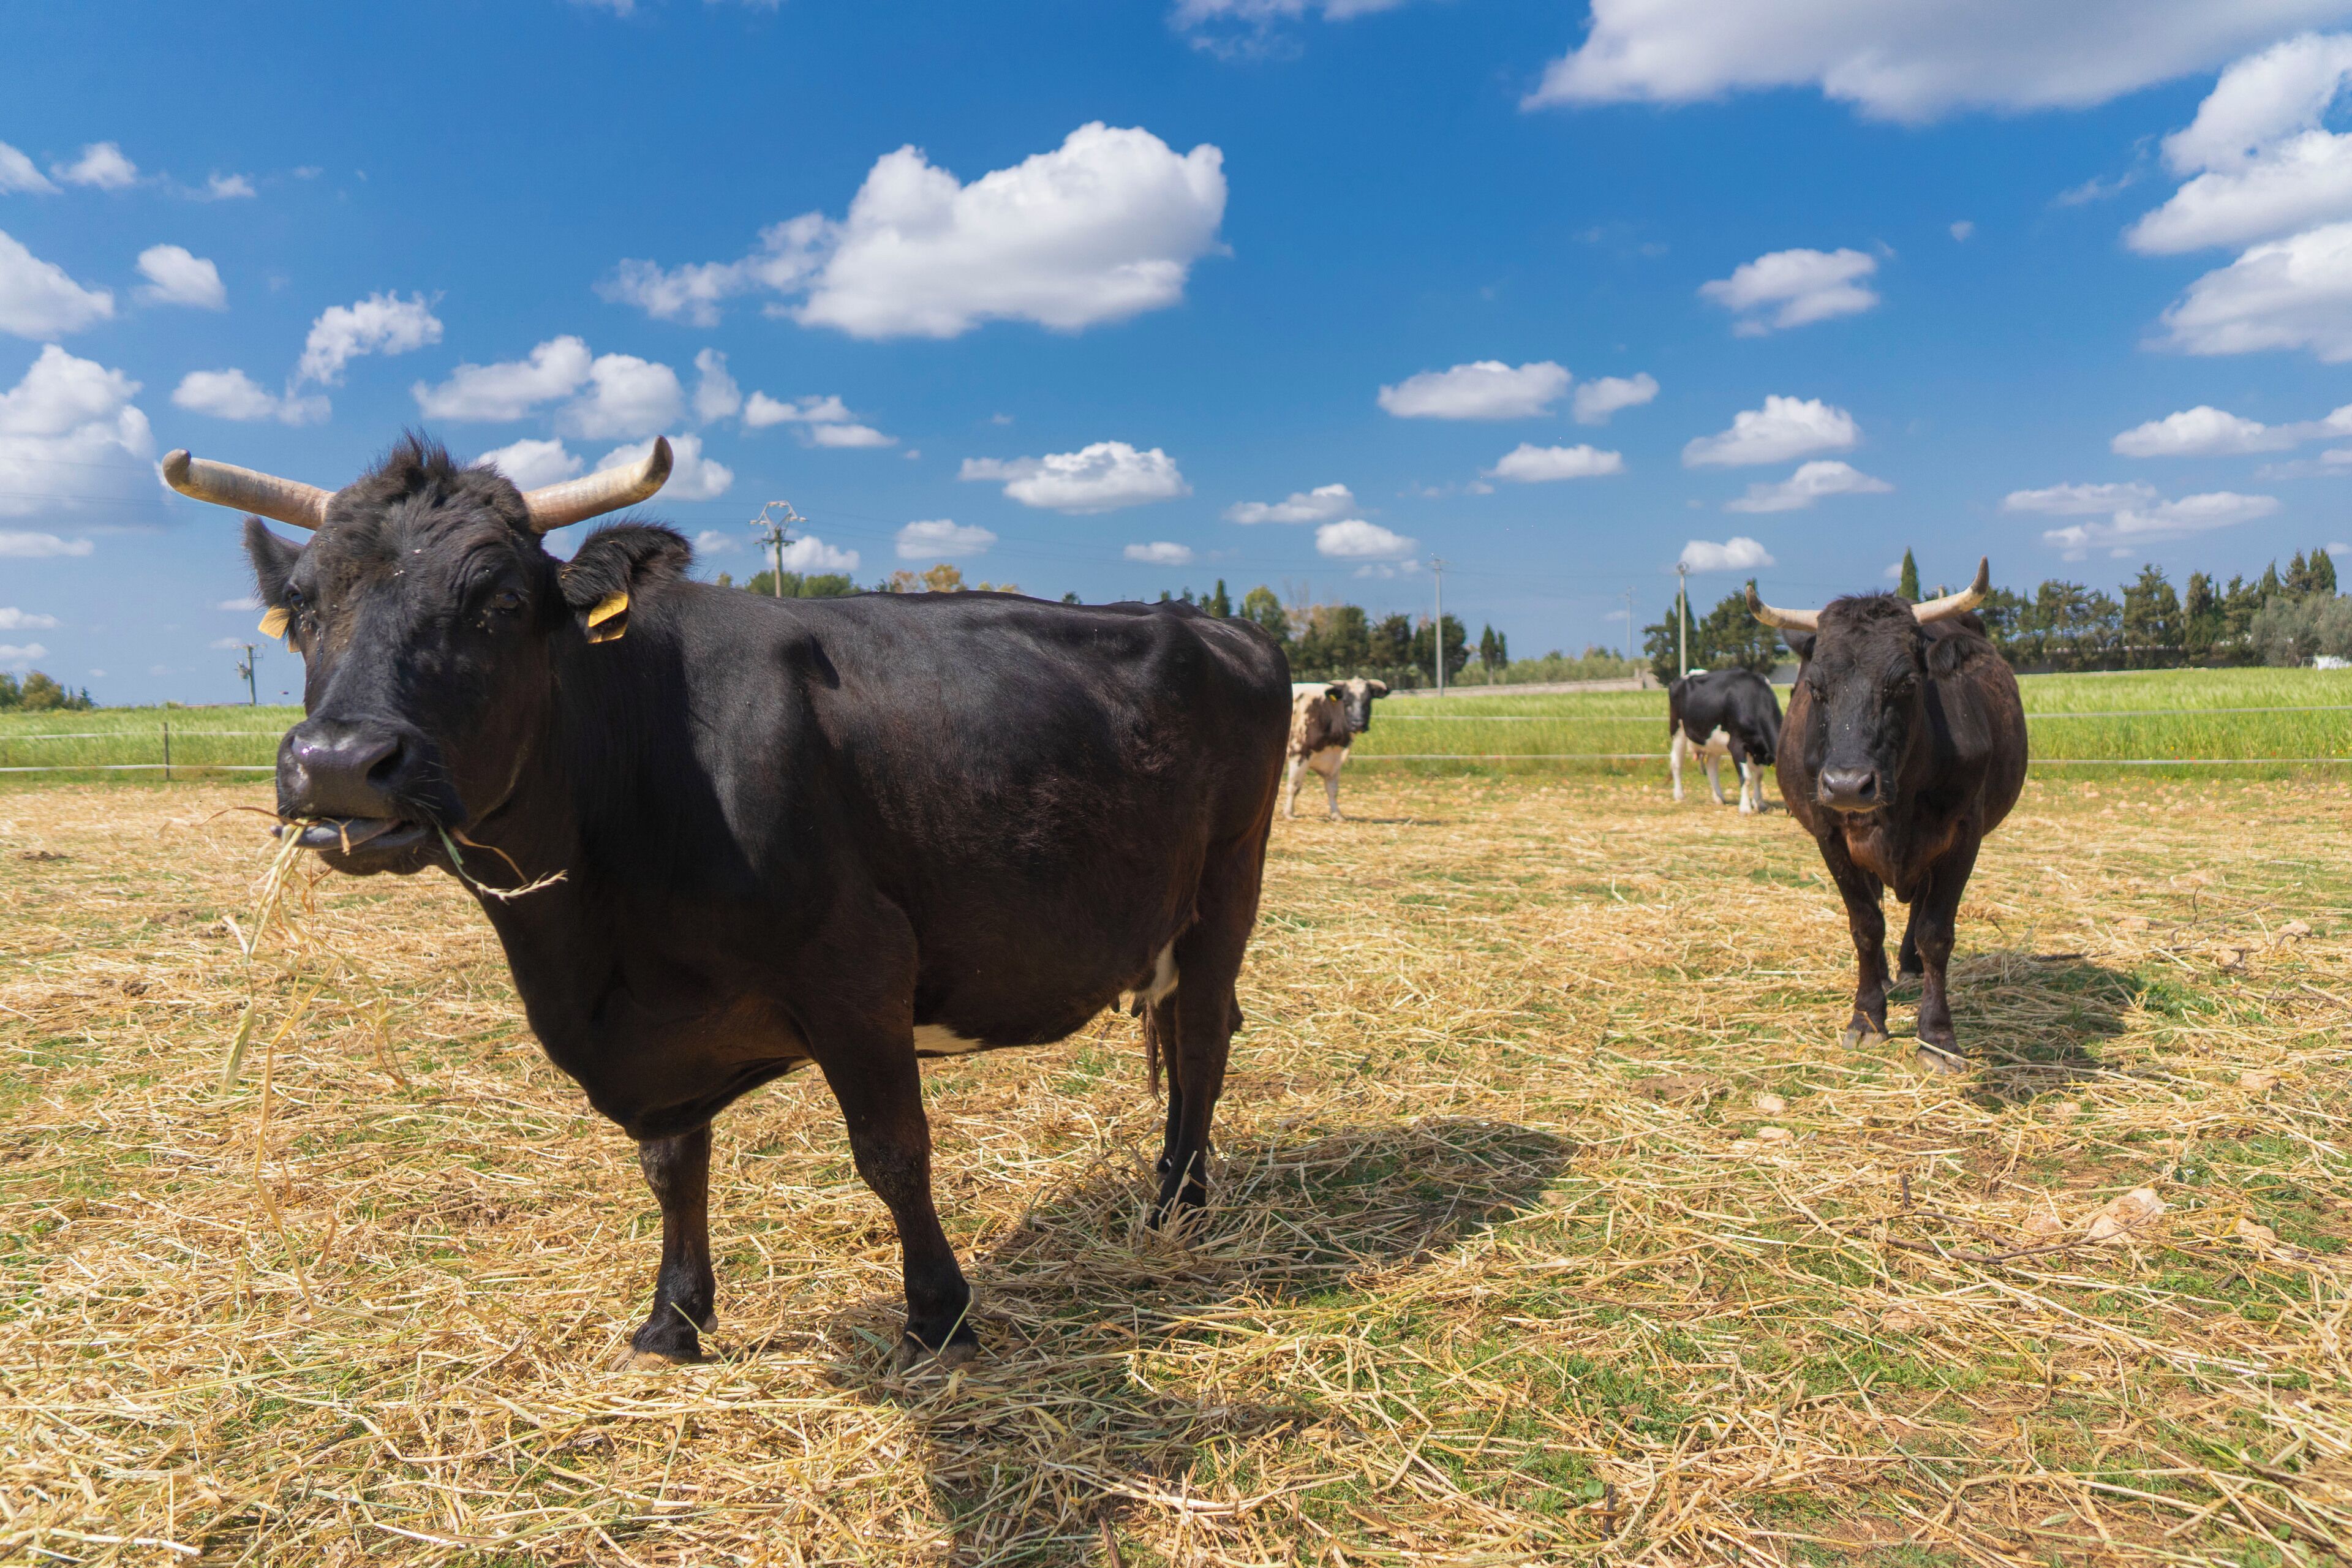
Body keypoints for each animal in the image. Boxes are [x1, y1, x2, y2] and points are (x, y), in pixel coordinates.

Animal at [163, 435, 1291, 1373]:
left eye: (497, 602)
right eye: (303, 608)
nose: (340, 764)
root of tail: (1212, 624)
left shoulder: (859, 970)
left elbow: (892, 1154)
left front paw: (938, 1319)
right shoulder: (662, 1025)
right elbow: (672, 1164)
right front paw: (674, 1319)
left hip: (1226, 887)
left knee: (1203, 1038)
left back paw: (1176, 1206)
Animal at [1284, 678, 1387, 820]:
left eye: (1368, 701)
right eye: (1346, 701)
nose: (1358, 724)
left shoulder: (1335, 759)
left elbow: (1332, 789)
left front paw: (1337, 815)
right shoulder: (1299, 753)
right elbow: (1294, 786)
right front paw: (1289, 814)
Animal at [1666, 668, 1781, 814]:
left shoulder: (1757, 748)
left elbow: (1759, 775)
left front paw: (1759, 803)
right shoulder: (1737, 745)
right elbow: (1746, 777)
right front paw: (1745, 808)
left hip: (1714, 742)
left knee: (1711, 765)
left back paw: (1719, 798)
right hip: (1678, 730)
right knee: (1676, 763)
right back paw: (1679, 796)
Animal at [1748, 561, 2027, 1075]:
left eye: (1905, 684)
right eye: (1816, 688)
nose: (1846, 784)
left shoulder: (1963, 836)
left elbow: (1936, 932)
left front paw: (1937, 1037)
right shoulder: (1831, 836)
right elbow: (1865, 925)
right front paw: (1866, 1018)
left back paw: (1910, 968)